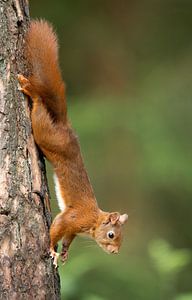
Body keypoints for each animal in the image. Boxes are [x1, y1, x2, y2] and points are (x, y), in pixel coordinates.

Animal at [18, 20, 127, 268]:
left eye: (122, 238)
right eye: (111, 235)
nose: (116, 253)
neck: (93, 222)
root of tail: (65, 126)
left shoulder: (74, 230)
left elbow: (67, 238)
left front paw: (65, 252)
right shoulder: (73, 218)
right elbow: (56, 229)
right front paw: (51, 249)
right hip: (46, 135)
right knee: (39, 107)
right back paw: (30, 91)